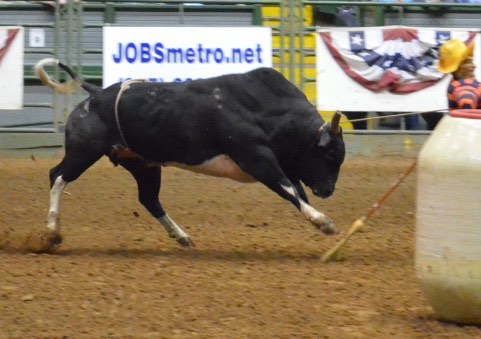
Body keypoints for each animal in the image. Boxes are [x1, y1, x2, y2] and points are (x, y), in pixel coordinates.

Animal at [35, 58, 344, 248]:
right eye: (329, 154)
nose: (329, 190)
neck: (266, 108)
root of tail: (95, 94)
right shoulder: (255, 157)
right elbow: (289, 190)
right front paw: (323, 221)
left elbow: (296, 189)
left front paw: (321, 219)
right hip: (84, 151)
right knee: (57, 176)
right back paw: (51, 231)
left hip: (143, 164)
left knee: (149, 199)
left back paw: (182, 236)